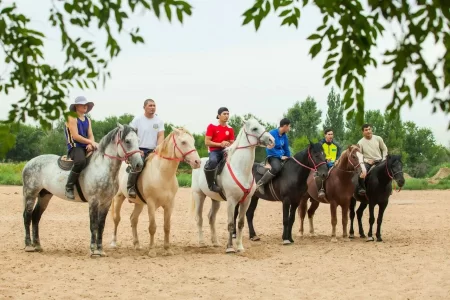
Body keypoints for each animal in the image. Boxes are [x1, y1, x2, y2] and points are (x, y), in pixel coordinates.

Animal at [21, 123, 142, 256]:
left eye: (138, 141)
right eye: (127, 141)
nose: (139, 165)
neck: (102, 167)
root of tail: (29, 163)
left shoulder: (106, 202)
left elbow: (101, 225)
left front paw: (100, 250)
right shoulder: (94, 200)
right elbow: (93, 225)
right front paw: (93, 250)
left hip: (44, 195)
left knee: (36, 217)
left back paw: (37, 245)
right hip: (30, 194)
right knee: (27, 216)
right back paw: (28, 246)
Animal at [109, 127, 200, 256]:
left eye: (193, 142)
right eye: (183, 142)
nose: (197, 162)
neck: (162, 174)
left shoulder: (169, 204)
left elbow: (167, 226)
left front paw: (167, 249)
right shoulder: (151, 203)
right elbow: (152, 227)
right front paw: (152, 250)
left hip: (139, 204)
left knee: (133, 219)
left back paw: (137, 244)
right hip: (118, 197)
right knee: (116, 219)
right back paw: (113, 243)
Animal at [190, 119, 274, 253]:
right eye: (255, 128)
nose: (272, 140)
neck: (240, 169)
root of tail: (199, 162)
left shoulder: (246, 201)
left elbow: (240, 223)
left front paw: (239, 247)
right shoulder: (231, 201)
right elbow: (230, 224)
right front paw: (229, 247)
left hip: (215, 200)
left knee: (211, 218)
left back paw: (215, 242)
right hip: (199, 196)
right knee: (199, 218)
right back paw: (202, 242)